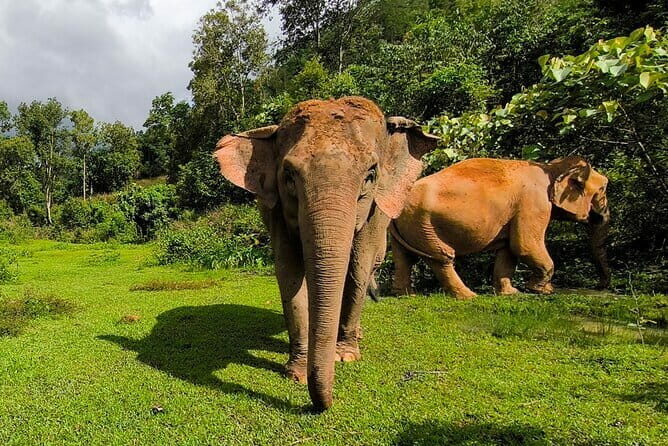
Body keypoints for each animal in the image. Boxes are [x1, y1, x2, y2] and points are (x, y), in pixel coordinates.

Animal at [213, 96, 439, 410]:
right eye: (289, 176)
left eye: (370, 175)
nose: (322, 405)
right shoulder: (277, 209)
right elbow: (289, 273)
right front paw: (296, 373)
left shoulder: (374, 209)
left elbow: (358, 265)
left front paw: (345, 356)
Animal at [390, 156, 610, 300]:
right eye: (603, 189)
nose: (601, 287)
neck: (551, 167)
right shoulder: (533, 203)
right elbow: (524, 246)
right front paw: (542, 291)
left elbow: (509, 251)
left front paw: (512, 293)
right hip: (424, 225)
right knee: (442, 258)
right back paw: (470, 296)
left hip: (411, 226)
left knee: (404, 258)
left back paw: (407, 295)